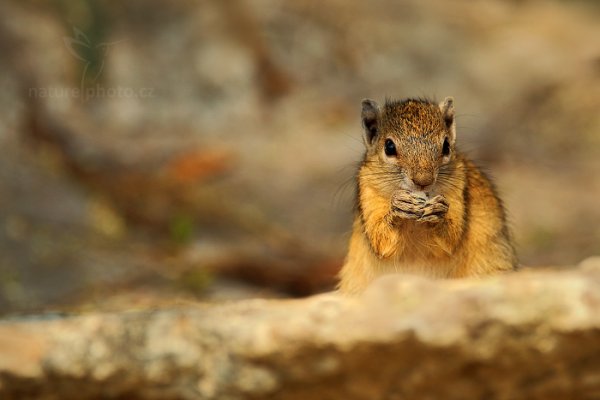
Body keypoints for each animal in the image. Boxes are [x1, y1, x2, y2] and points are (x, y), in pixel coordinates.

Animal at [338, 98, 516, 296]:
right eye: (389, 147)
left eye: (446, 146)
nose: (423, 181)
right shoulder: (368, 191)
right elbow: (381, 240)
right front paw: (398, 207)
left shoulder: (459, 187)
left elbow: (449, 240)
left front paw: (438, 212)